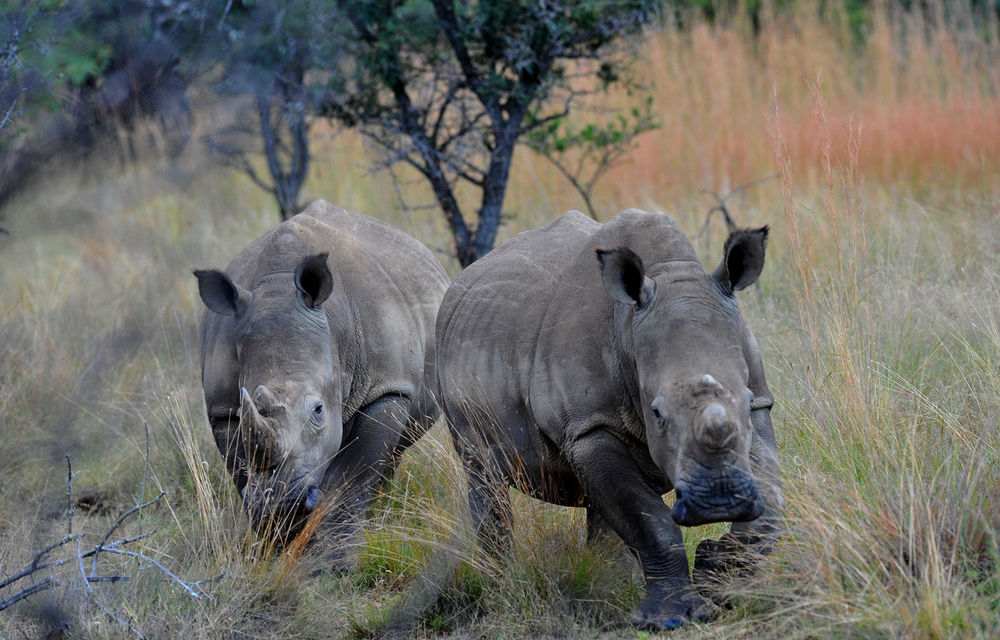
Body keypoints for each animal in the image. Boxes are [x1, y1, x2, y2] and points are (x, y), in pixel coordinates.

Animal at [195, 201, 446, 568]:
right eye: (244, 410)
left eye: (317, 410)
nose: (280, 502)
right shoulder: (222, 409)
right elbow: (240, 469)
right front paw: (275, 545)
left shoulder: (386, 389)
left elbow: (351, 479)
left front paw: (333, 564)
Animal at [436, 209, 780, 632]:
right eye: (657, 413)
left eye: (745, 400)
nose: (718, 502)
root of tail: (461, 280)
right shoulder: (588, 426)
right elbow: (652, 523)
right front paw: (670, 619)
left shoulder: (760, 401)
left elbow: (767, 509)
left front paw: (717, 573)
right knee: (482, 475)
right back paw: (499, 588)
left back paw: (612, 585)